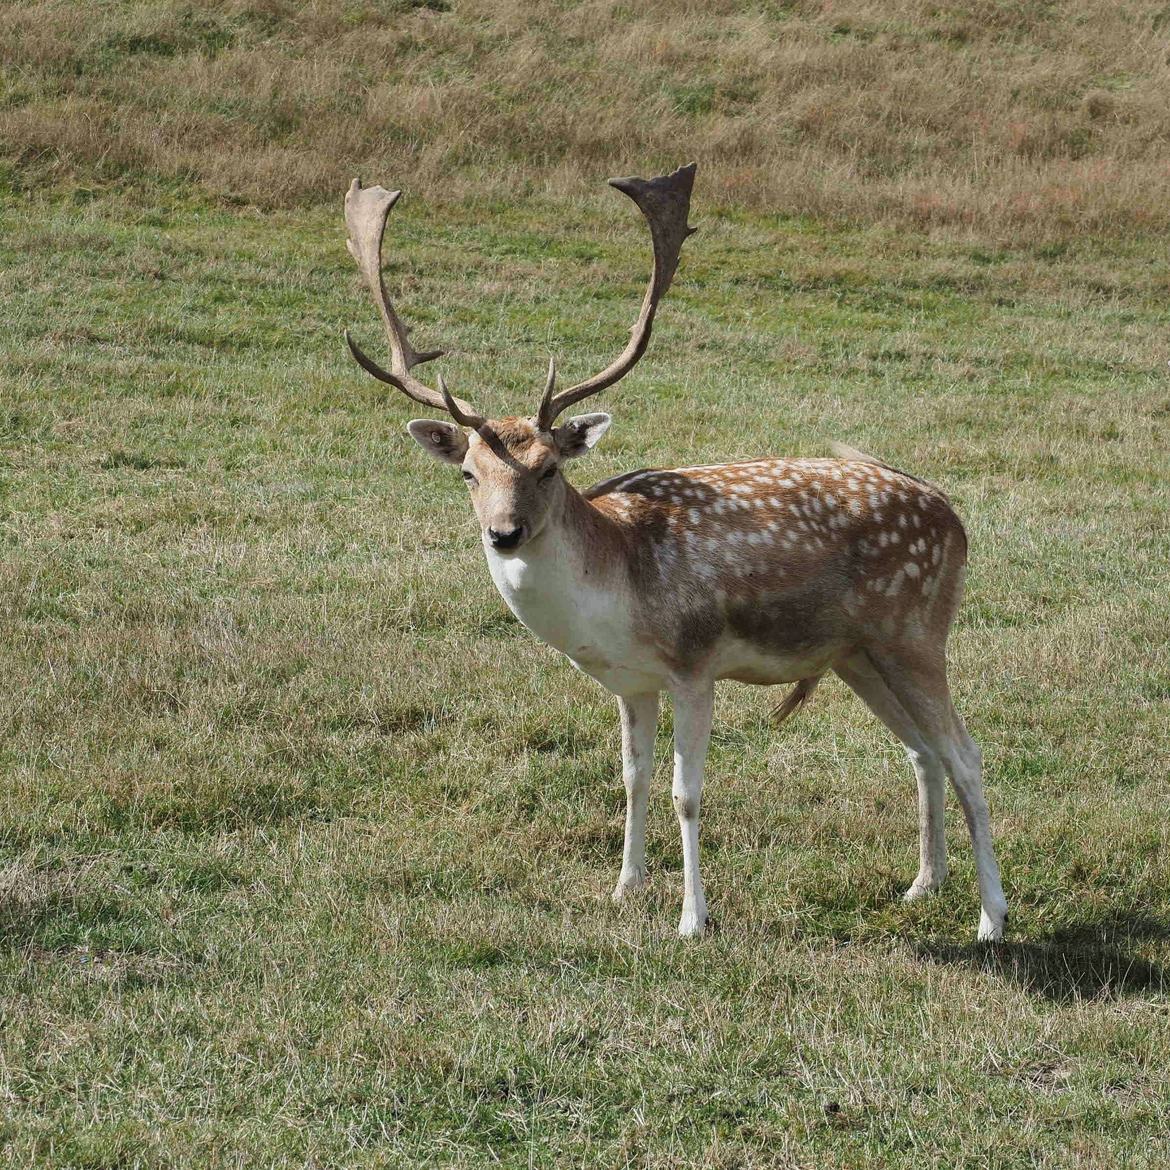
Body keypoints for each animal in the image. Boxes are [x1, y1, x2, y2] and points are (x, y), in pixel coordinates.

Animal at [339, 160, 1006, 940]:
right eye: (469, 473)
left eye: (549, 468)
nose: (504, 533)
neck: (616, 588)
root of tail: (952, 514)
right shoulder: (631, 682)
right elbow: (634, 776)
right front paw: (624, 888)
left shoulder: (694, 665)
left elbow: (689, 792)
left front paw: (693, 920)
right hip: (857, 654)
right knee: (922, 752)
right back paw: (923, 885)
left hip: (916, 632)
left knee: (967, 754)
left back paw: (991, 918)